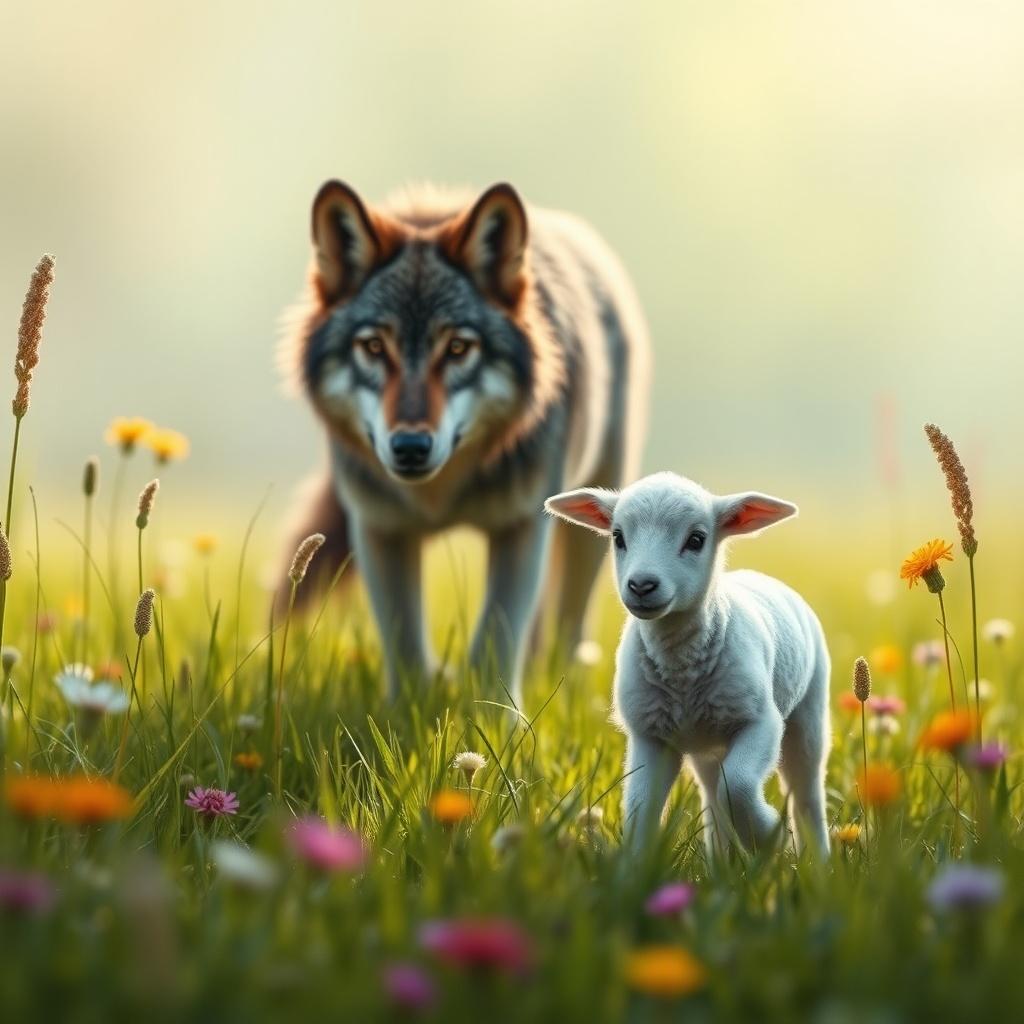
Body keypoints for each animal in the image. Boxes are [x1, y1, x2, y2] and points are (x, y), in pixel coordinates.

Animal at [279, 180, 650, 702]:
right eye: (374, 347)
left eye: (457, 348)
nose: (410, 447)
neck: (438, 497)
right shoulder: (380, 528)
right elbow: (407, 654)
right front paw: (409, 714)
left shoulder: (521, 526)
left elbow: (493, 644)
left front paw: (492, 718)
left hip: (589, 528)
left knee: (568, 627)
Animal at [545, 472, 831, 856]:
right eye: (618, 537)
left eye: (696, 539)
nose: (642, 585)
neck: (681, 670)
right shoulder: (649, 733)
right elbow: (641, 808)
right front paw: (634, 867)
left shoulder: (761, 721)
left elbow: (737, 785)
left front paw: (768, 836)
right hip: (707, 744)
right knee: (713, 792)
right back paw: (722, 860)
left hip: (808, 713)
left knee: (806, 791)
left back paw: (820, 859)